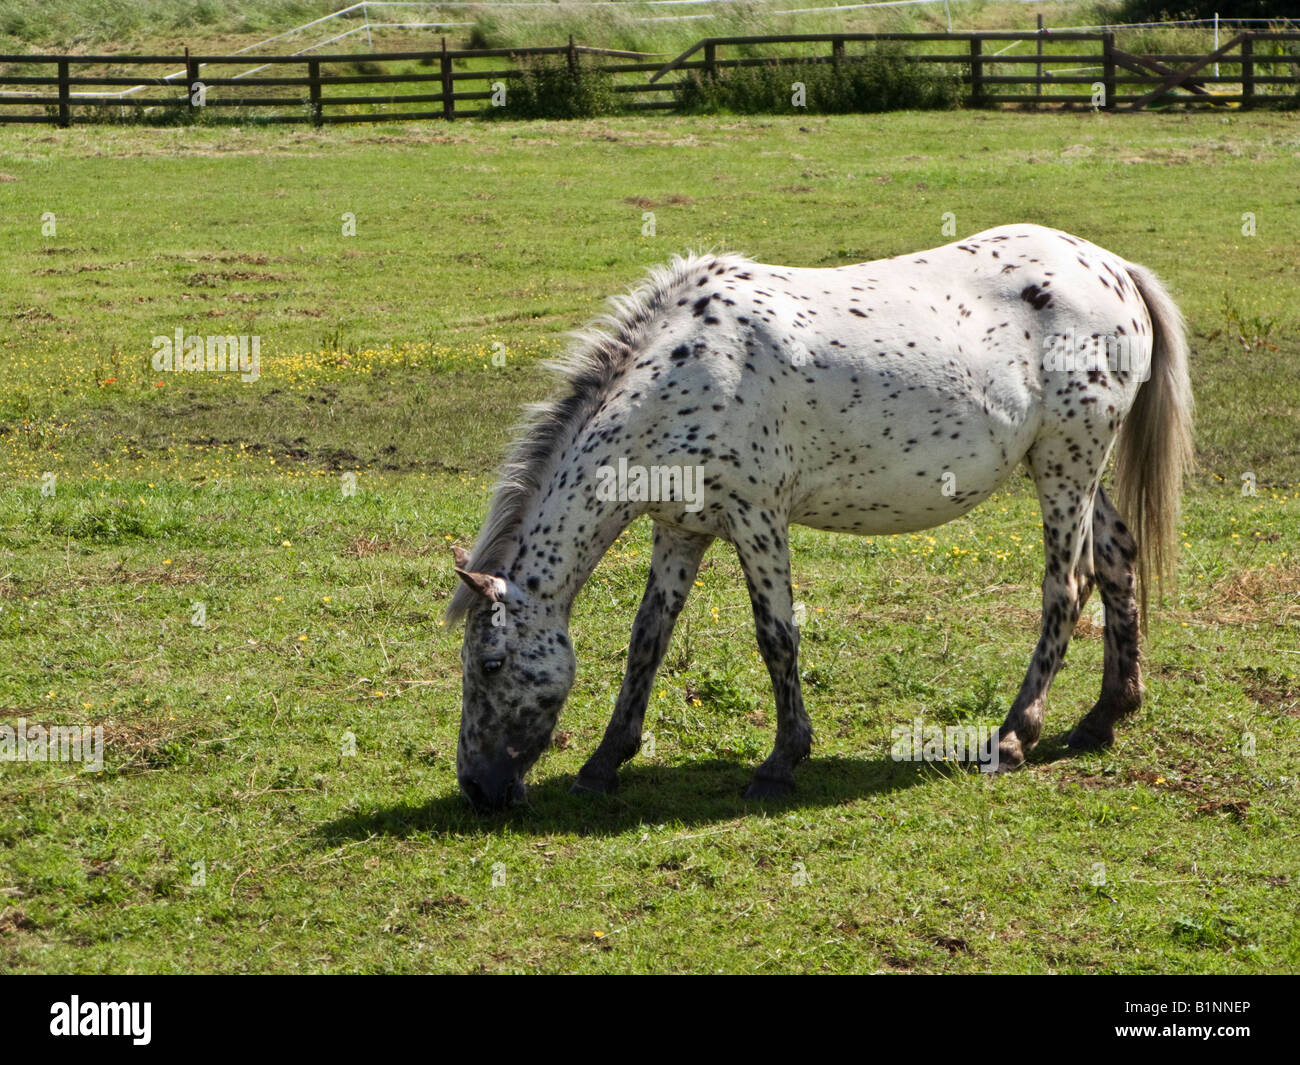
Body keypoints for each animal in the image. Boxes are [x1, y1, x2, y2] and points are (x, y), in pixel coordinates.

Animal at [444, 221, 1190, 811]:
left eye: (489, 664)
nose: (479, 789)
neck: (679, 373)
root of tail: (1115, 270)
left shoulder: (756, 517)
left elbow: (776, 635)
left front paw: (781, 762)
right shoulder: (681, 529)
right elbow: (647, 639)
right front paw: (604, 762)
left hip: (1067, 465)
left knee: (1066, 586)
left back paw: (1013, 736)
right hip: (1068, 467)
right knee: (1117, 560)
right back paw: (1105, 715)